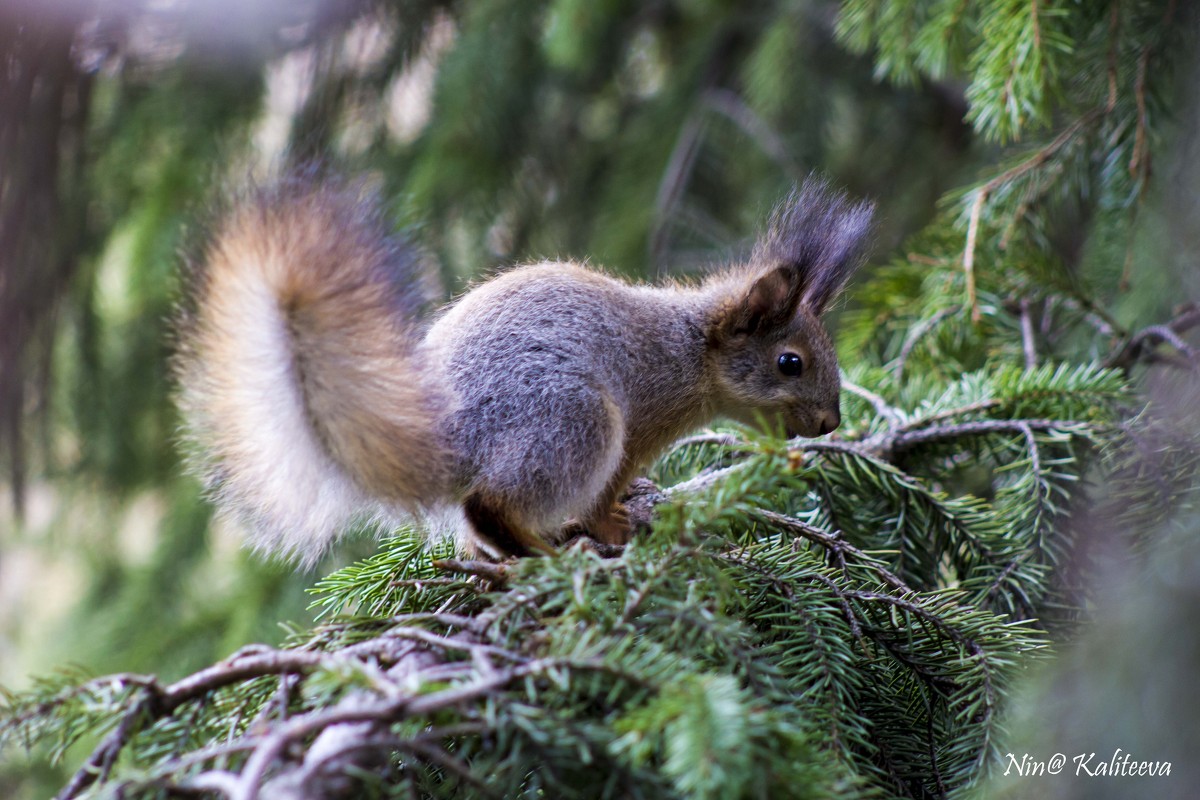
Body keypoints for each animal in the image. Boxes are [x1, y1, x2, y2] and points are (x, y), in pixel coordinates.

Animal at [175, 175, 873, 563]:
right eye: (790, 363)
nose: (830, 422)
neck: (690, 351)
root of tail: (451, 439)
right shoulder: (640, 421)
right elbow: (607, 491)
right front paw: (614, 521)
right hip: (574, 422)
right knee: (491, 506)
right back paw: (550, 552)